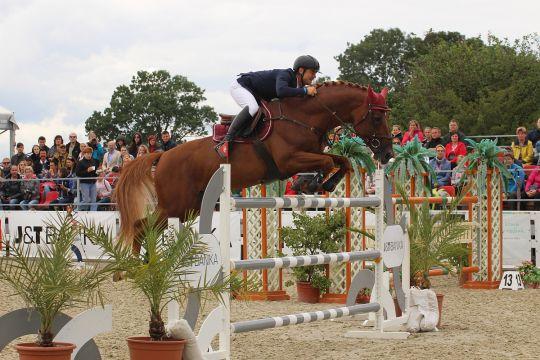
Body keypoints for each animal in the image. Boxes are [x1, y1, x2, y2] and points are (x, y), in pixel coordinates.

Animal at [115, 81, 392, 245]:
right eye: (377, 118)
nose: (388, 154)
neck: (303, 117)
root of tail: (162, 156)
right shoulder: (290, 160)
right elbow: (325, 162)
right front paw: (314, 184)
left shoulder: (309, 154)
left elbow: (341, 160)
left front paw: (325, 184)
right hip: (176, 206)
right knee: (141, 228)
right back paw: (137, 269)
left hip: (188, 207)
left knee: (145, 228)